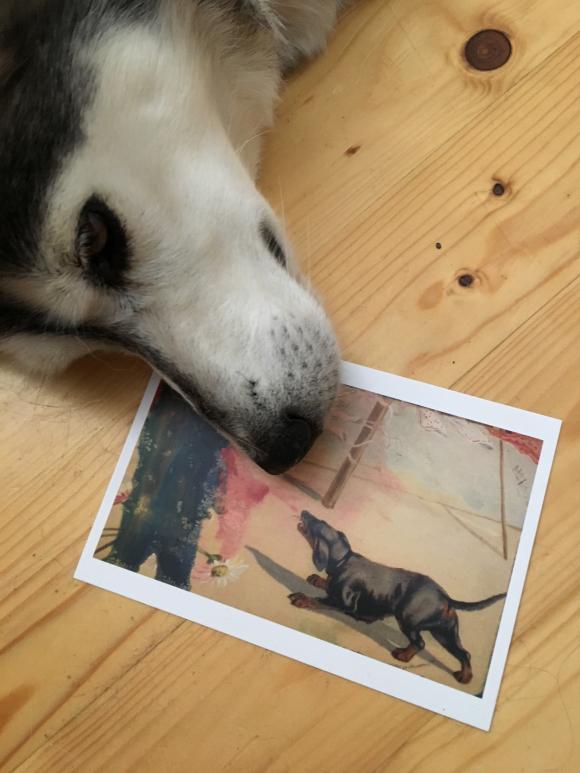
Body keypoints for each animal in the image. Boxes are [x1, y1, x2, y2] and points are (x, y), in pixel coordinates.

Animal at [290, 512, 508, 680]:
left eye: (317, 522)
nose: (305, 512)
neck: (343, 561)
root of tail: (446, 597)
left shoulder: (344, 603)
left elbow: (321, 600)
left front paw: (303, 598)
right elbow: (325, 585)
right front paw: (317, 579)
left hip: (408, 620)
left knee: (420, 643)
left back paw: (403, 655)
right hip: (444, 633)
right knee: (465, 654)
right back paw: (465, 677)